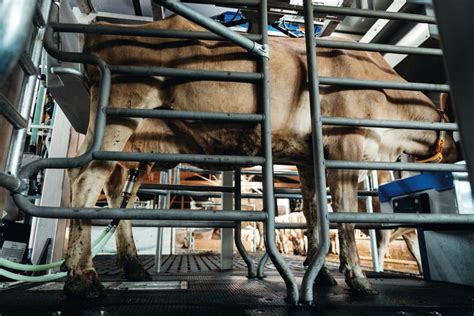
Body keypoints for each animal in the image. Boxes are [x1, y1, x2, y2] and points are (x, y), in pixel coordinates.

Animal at [63, 12, 456, 298]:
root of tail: (102, 30)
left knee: (110, 184)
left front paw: (322, 275)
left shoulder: (307, 157)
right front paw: (358, 279)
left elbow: (314, 213)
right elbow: (344, 215)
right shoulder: (347, 144)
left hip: (130, 141)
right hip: (122, 107)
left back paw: (125, 266)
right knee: (86, 176)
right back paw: (82, 276)